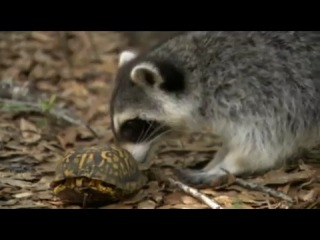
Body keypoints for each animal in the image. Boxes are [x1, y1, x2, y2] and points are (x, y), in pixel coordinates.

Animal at [109, 30, 320, 188]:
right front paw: (217, 160)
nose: (130, 160)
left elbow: (261, 145)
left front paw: (228, 165)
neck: (199, 74)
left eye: (131, 126)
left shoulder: (263, 91)